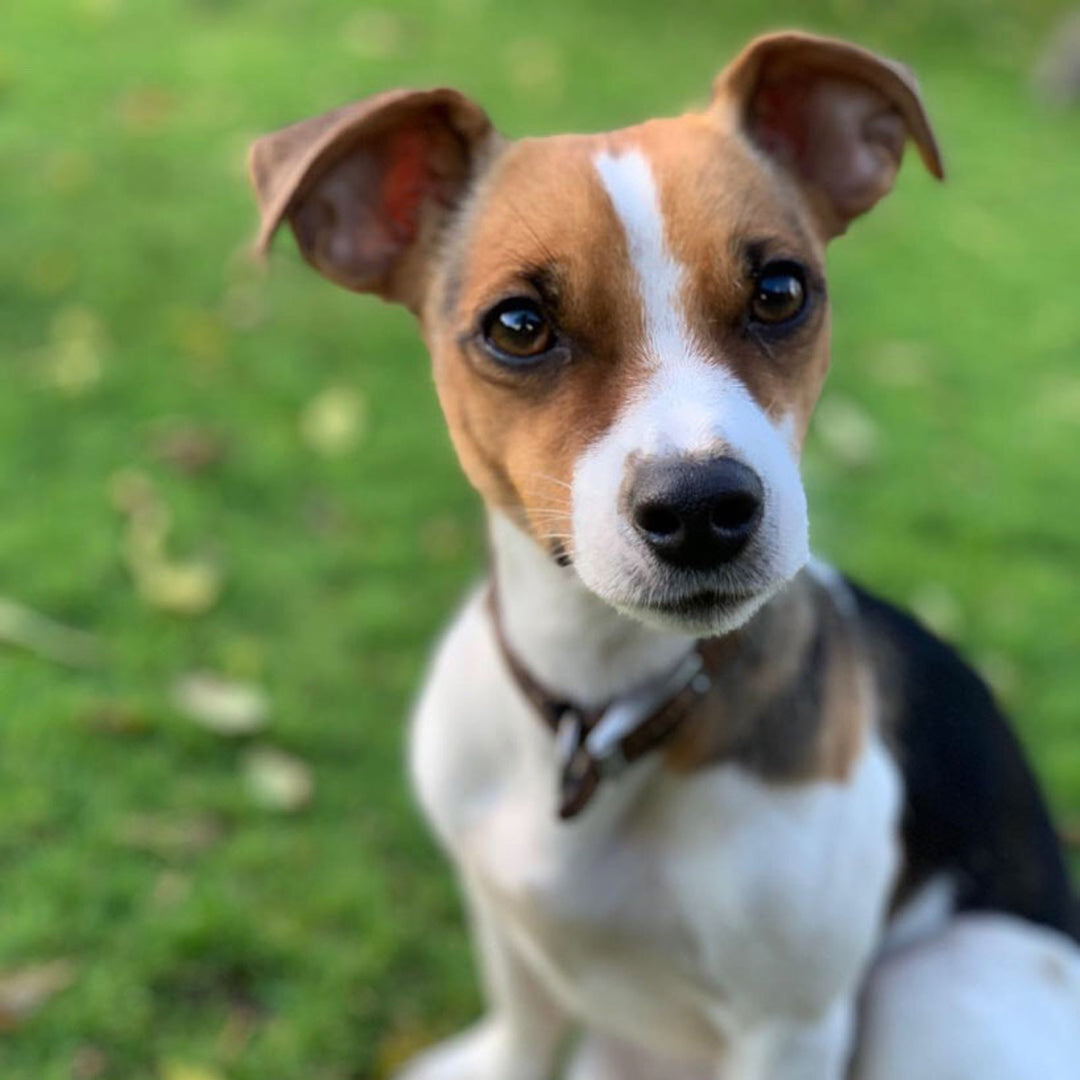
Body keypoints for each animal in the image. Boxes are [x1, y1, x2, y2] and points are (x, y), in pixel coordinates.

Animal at [248, 29, 1080, 1075]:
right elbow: (522, 1035)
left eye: (780, 291)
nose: (701, 508)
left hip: (947, 979)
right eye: (517, 325)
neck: (603, 706)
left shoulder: (792, 1028)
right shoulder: (508, 932)